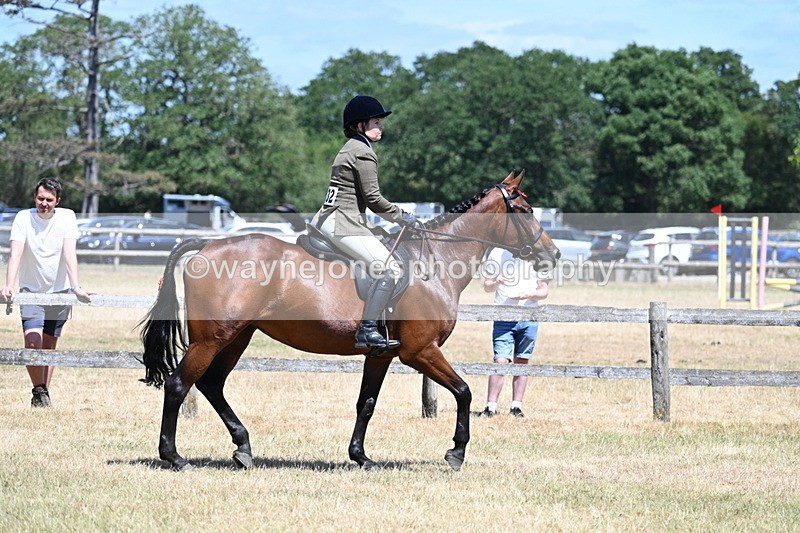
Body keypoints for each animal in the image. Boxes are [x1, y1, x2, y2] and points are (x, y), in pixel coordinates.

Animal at [139, 170, 560, 471]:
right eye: (525, 210)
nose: (552, 255)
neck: (435, 261)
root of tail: (207, 245)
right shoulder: (420, 351)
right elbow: (463, 391)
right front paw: (455, 453)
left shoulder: (382, 354)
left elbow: (366, 403)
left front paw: (360, 456)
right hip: (212, 339)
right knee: (178, 385)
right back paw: (174, 457)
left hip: (236, 337)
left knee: (211, 384)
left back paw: (243, 448)